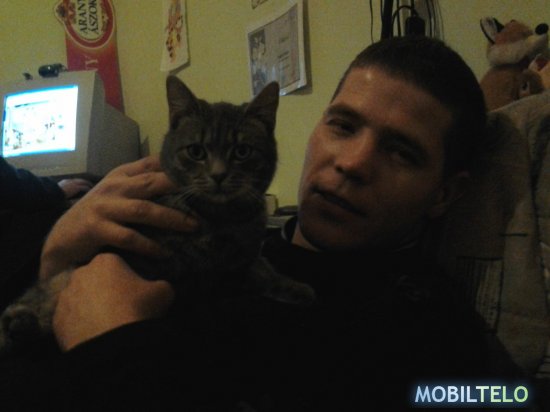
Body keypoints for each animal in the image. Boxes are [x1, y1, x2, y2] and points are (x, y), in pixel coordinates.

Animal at [0, 76, 315, 356]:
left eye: (242, 151)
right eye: (196, 151)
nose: (218, 175)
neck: (218, 220)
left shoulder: (242, 258)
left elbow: (262, 270)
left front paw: (295, 288)